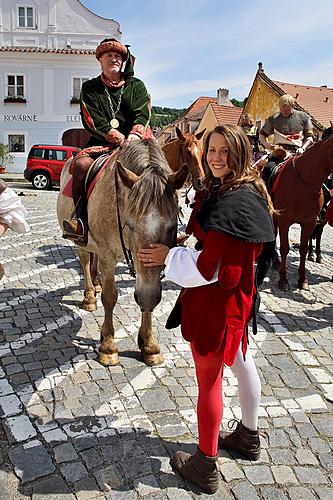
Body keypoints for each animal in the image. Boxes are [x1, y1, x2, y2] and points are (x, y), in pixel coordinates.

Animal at [57, 141, 187, 368]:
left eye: (172, 226)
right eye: (130, 225)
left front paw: (149, 344)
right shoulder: (108, 255)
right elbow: (110, 297)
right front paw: (108, 346)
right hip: (81, 241)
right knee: (85, 261)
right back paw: (90, 296)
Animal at [272, 133, 332, 292]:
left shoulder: (310, 223)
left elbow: (304, 249)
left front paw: (303, 279)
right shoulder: (284, 220)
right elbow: (285, 248)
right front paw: (283, 280)